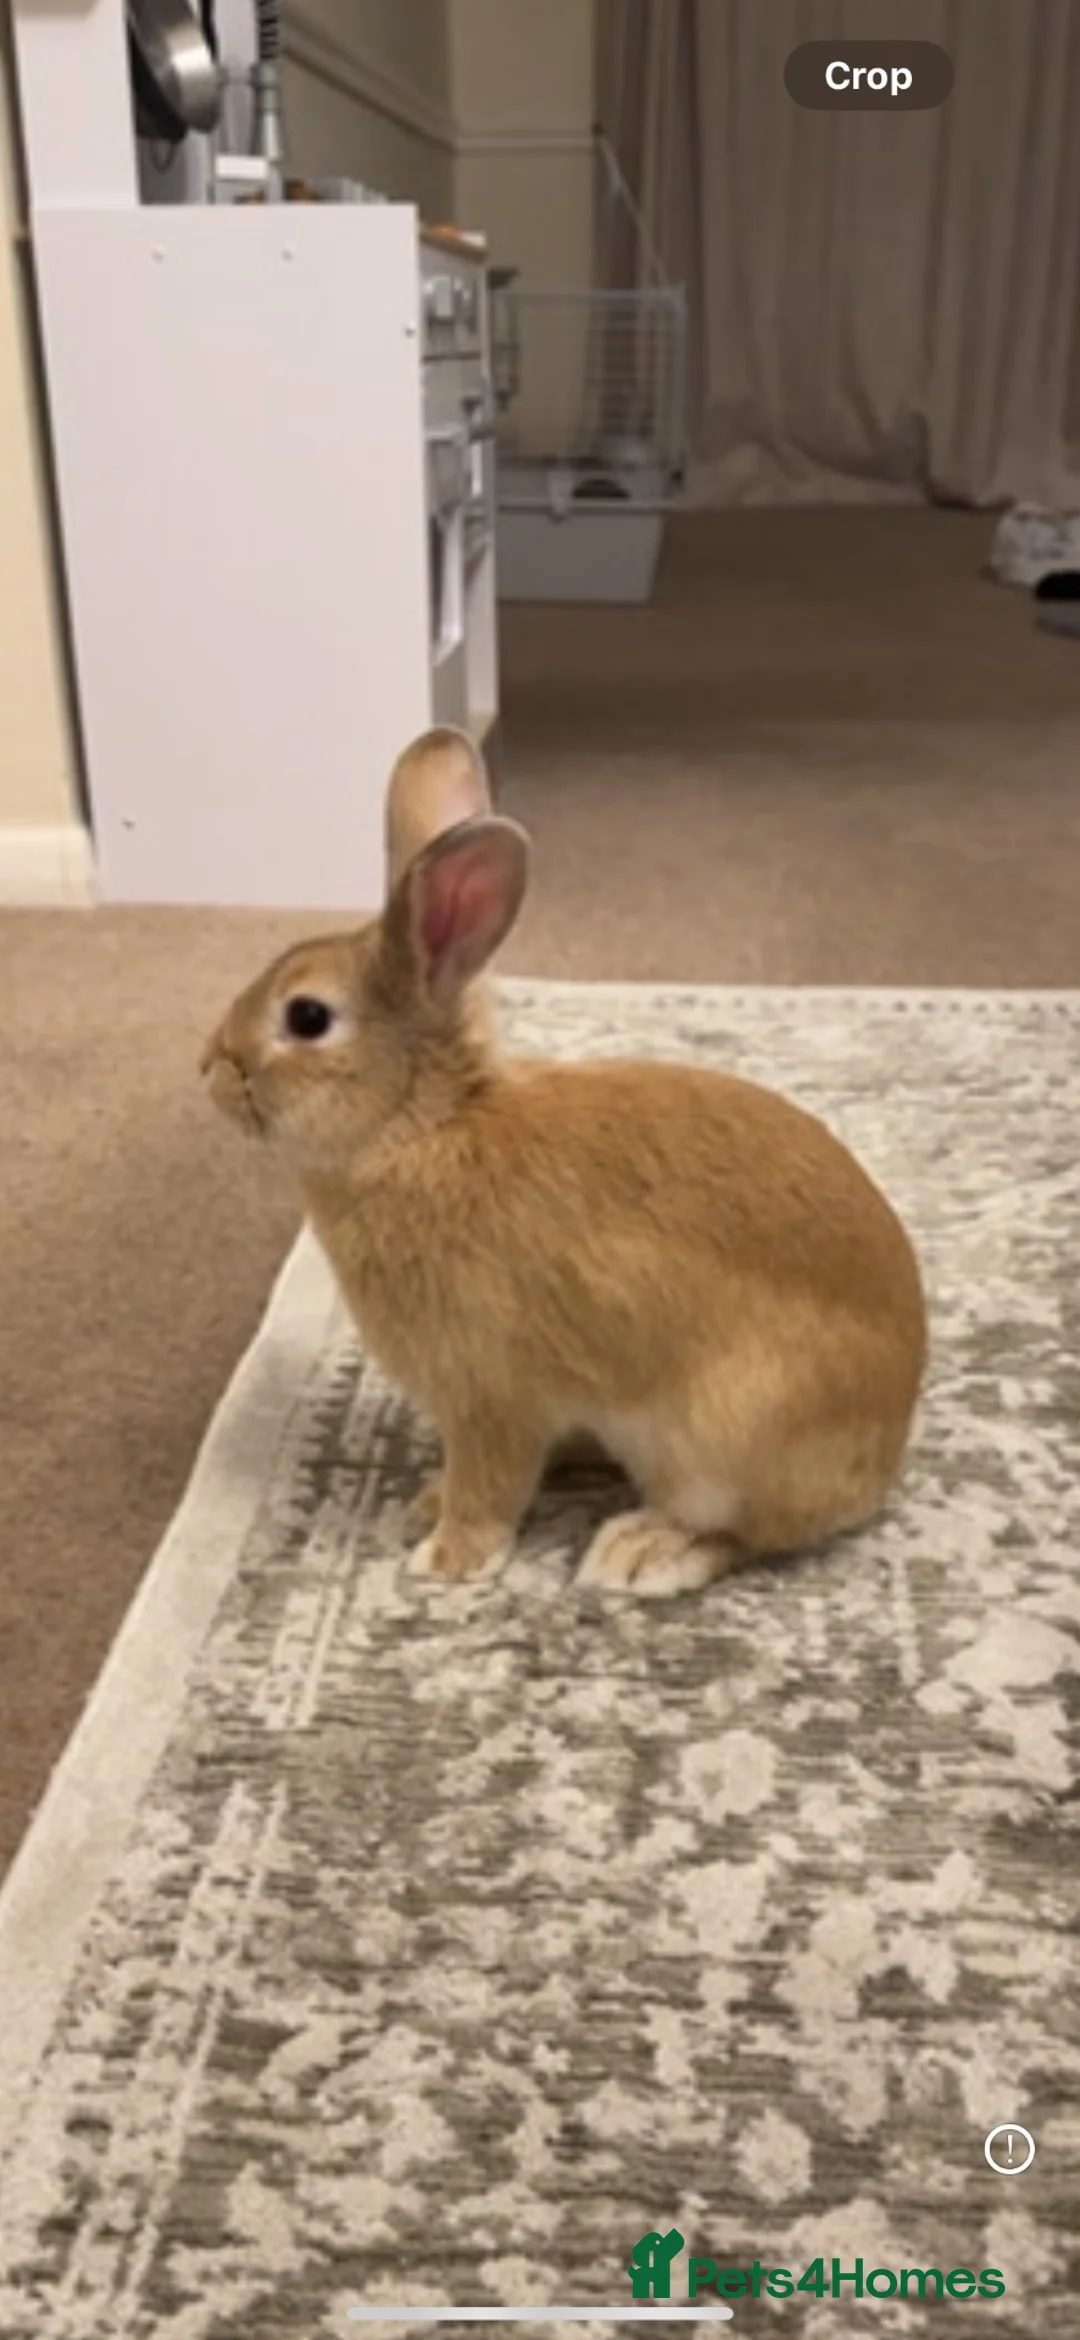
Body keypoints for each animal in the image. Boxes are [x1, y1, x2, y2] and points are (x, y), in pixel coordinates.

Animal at [202, 726, 927, 1599]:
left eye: (307, 1018)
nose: (209, 1070)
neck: (425, 1126)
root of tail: (881, 1461)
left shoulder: (490, 1397)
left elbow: (490, 1485)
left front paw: (446, 1557)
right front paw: (425, 1505)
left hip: (723, 1439)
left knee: (745, 1534)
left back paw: (641, 1552)